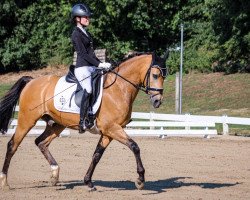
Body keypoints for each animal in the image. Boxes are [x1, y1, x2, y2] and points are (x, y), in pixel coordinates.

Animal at [0, 50, 169, 191]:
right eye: (155, 75)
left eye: (164, 76)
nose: (157, 101)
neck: (119, 88)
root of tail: (31, 81)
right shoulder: (112, 128)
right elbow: (134, 147)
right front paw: (140, 180)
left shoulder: (108, 132)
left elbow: (96, 155)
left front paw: (88, 182)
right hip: (27, 120)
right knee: (13, 145)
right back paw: (4, 182)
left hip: (57, 124)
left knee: (41, 142)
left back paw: (54, 175)